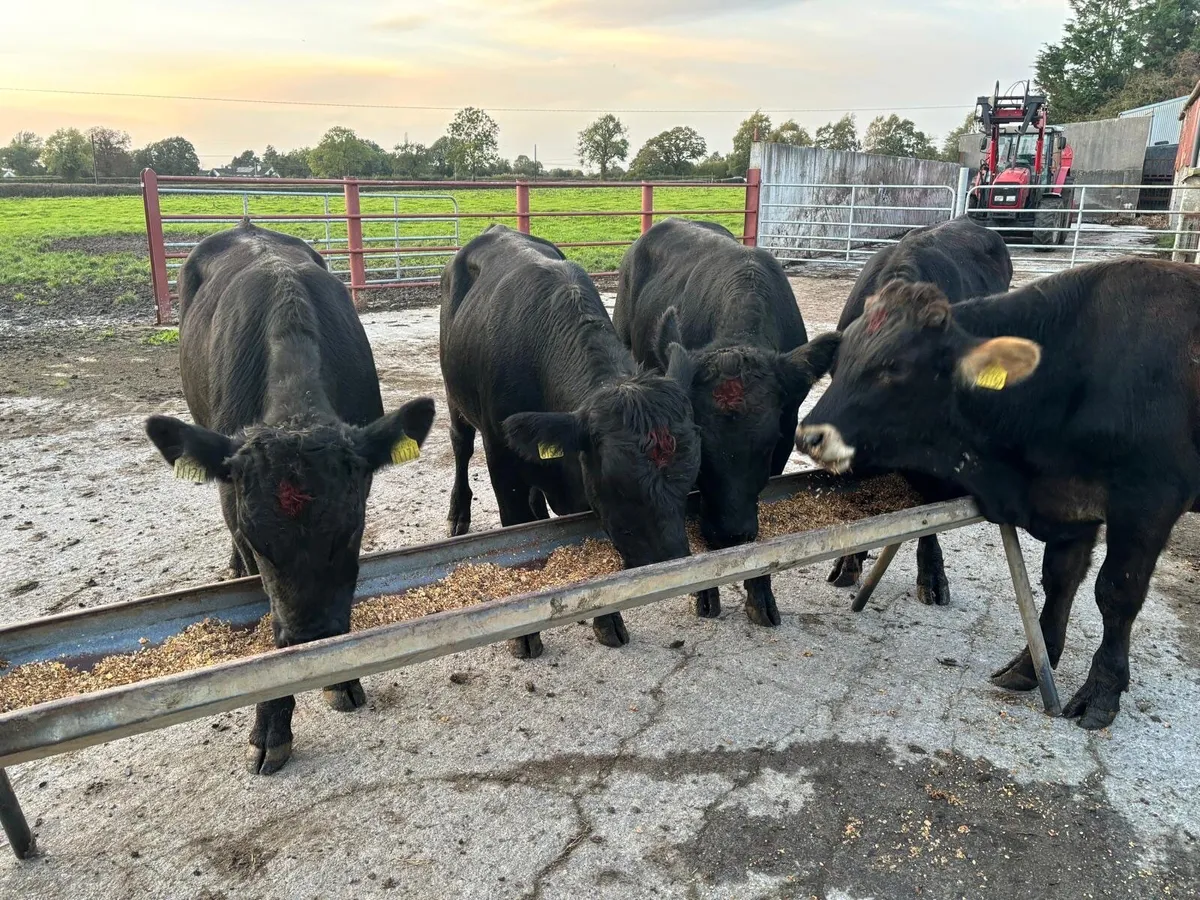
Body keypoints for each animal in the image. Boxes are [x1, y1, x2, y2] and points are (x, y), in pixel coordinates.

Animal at [440, 225, 702, 658]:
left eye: (690, 477)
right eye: (620, 487)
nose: (671, 565)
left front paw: (607, 620)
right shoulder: (502, 463)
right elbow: (518, 535)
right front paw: (524, 635)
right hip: (454, 397)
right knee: (461, 446)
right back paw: (458, 514)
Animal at [797, 258, 1200, 729]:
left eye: (894, 367)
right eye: (839, 360)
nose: (809, 435)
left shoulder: (1149, 503)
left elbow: (1116, 594)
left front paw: (1101, 691)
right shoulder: (1068, 504)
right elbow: (1059, 582)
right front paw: (1031, 665)